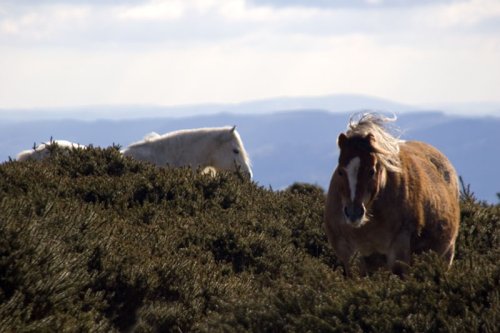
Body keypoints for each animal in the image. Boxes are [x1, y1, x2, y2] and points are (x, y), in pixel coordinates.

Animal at [324, 113, 460, 274]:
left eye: (371, 171)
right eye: (340, 171)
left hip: (446, 255)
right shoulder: (352, 257)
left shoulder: (398, 254)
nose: (353, 213)